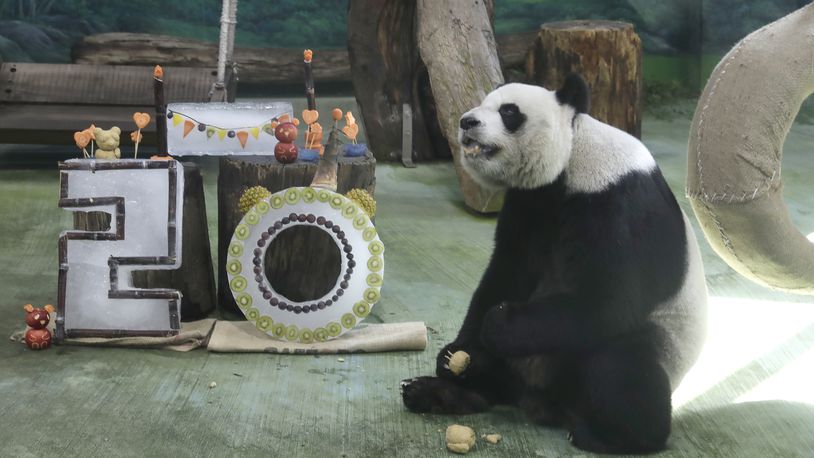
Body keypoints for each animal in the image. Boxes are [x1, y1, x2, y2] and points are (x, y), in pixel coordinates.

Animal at [402, 75, 708, 454]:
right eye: (484, 104)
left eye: (508, 112)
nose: (466, 122)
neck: (571, 161)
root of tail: (538, 399)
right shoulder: (529, 203)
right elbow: (506, 272)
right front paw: (457, 355)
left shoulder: (616, 202)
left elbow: (607, 301)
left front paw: (499, 324)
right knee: (496, 385)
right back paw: (439, 391)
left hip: (659, 342)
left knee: (622, 362)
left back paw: (614, 436)